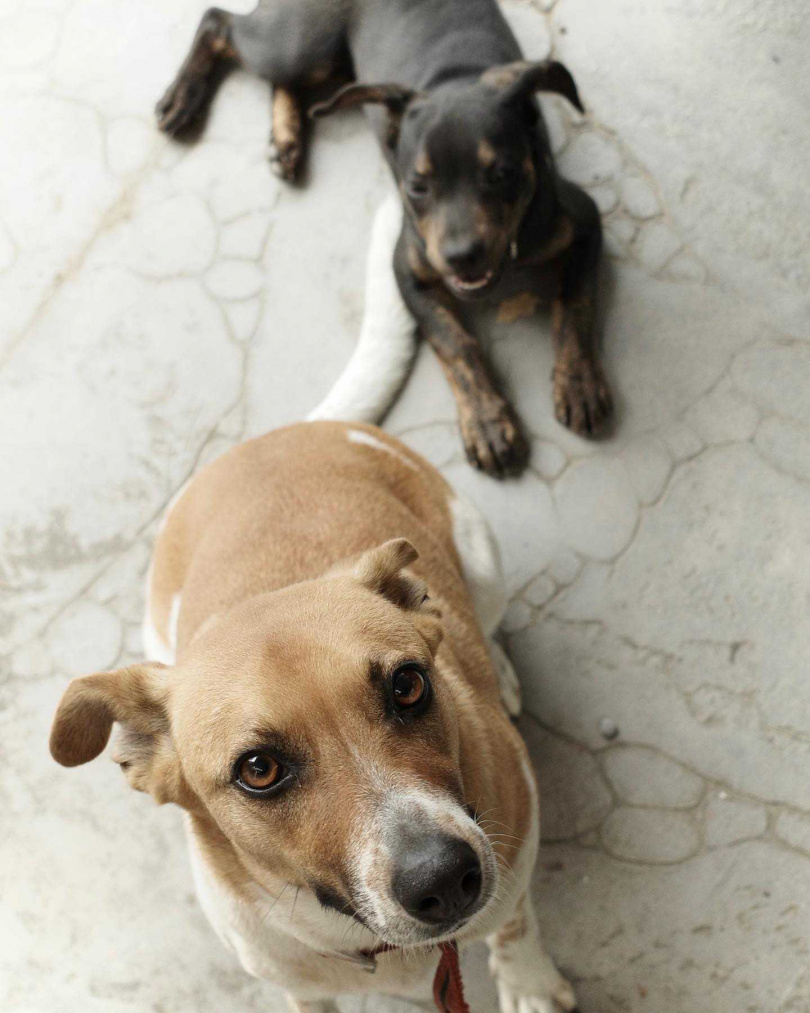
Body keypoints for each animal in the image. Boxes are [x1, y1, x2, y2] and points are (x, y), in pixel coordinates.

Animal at [49, 419, 575, 1013]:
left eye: (408, 685)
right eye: (258, 770)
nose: (442, 877)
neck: (371, 942)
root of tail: (287, 430)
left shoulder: (516, 854)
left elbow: (515, 924)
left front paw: (529, 984)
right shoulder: (295, 981)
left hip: (482, 563)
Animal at [156, 0, 615, 476]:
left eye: (502, 173)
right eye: (417, 185)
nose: (461, 257)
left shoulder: (584, 220)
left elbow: (575, 303)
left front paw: (579, 383)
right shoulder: (407, 268)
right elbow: (455, 342)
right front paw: (488, 423)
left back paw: (285, 139)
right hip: (299, 46)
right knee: (219, 23)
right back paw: (183, 100)